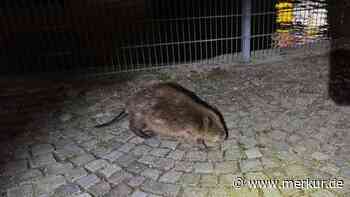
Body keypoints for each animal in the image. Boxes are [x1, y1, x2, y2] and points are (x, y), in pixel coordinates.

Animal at [95, 82, 228, 148]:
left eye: (222, 125)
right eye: (218, 131)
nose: (225, 136)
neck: (196, 117)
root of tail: (127, 106)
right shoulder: (188, 128)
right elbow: (195, 138)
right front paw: (205, 146)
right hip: (140, 116)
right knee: (133, 126)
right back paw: (148, 135)